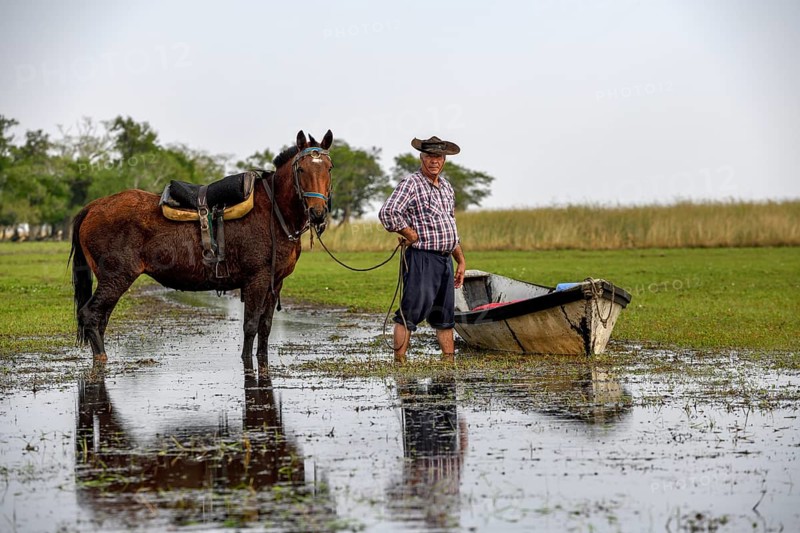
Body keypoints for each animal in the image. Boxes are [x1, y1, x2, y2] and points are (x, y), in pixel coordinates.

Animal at [70, 130, 333, 369]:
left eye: (328, 169)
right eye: (301, 170)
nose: (317, 213)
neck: (273, 211)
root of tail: (93, 207)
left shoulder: (275, 282)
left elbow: (265, 327)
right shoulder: (256, 280)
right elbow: (250, 326)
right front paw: (247, 362)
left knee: (100, 318)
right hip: (116, 277)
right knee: (90, 314)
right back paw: (101, 358)